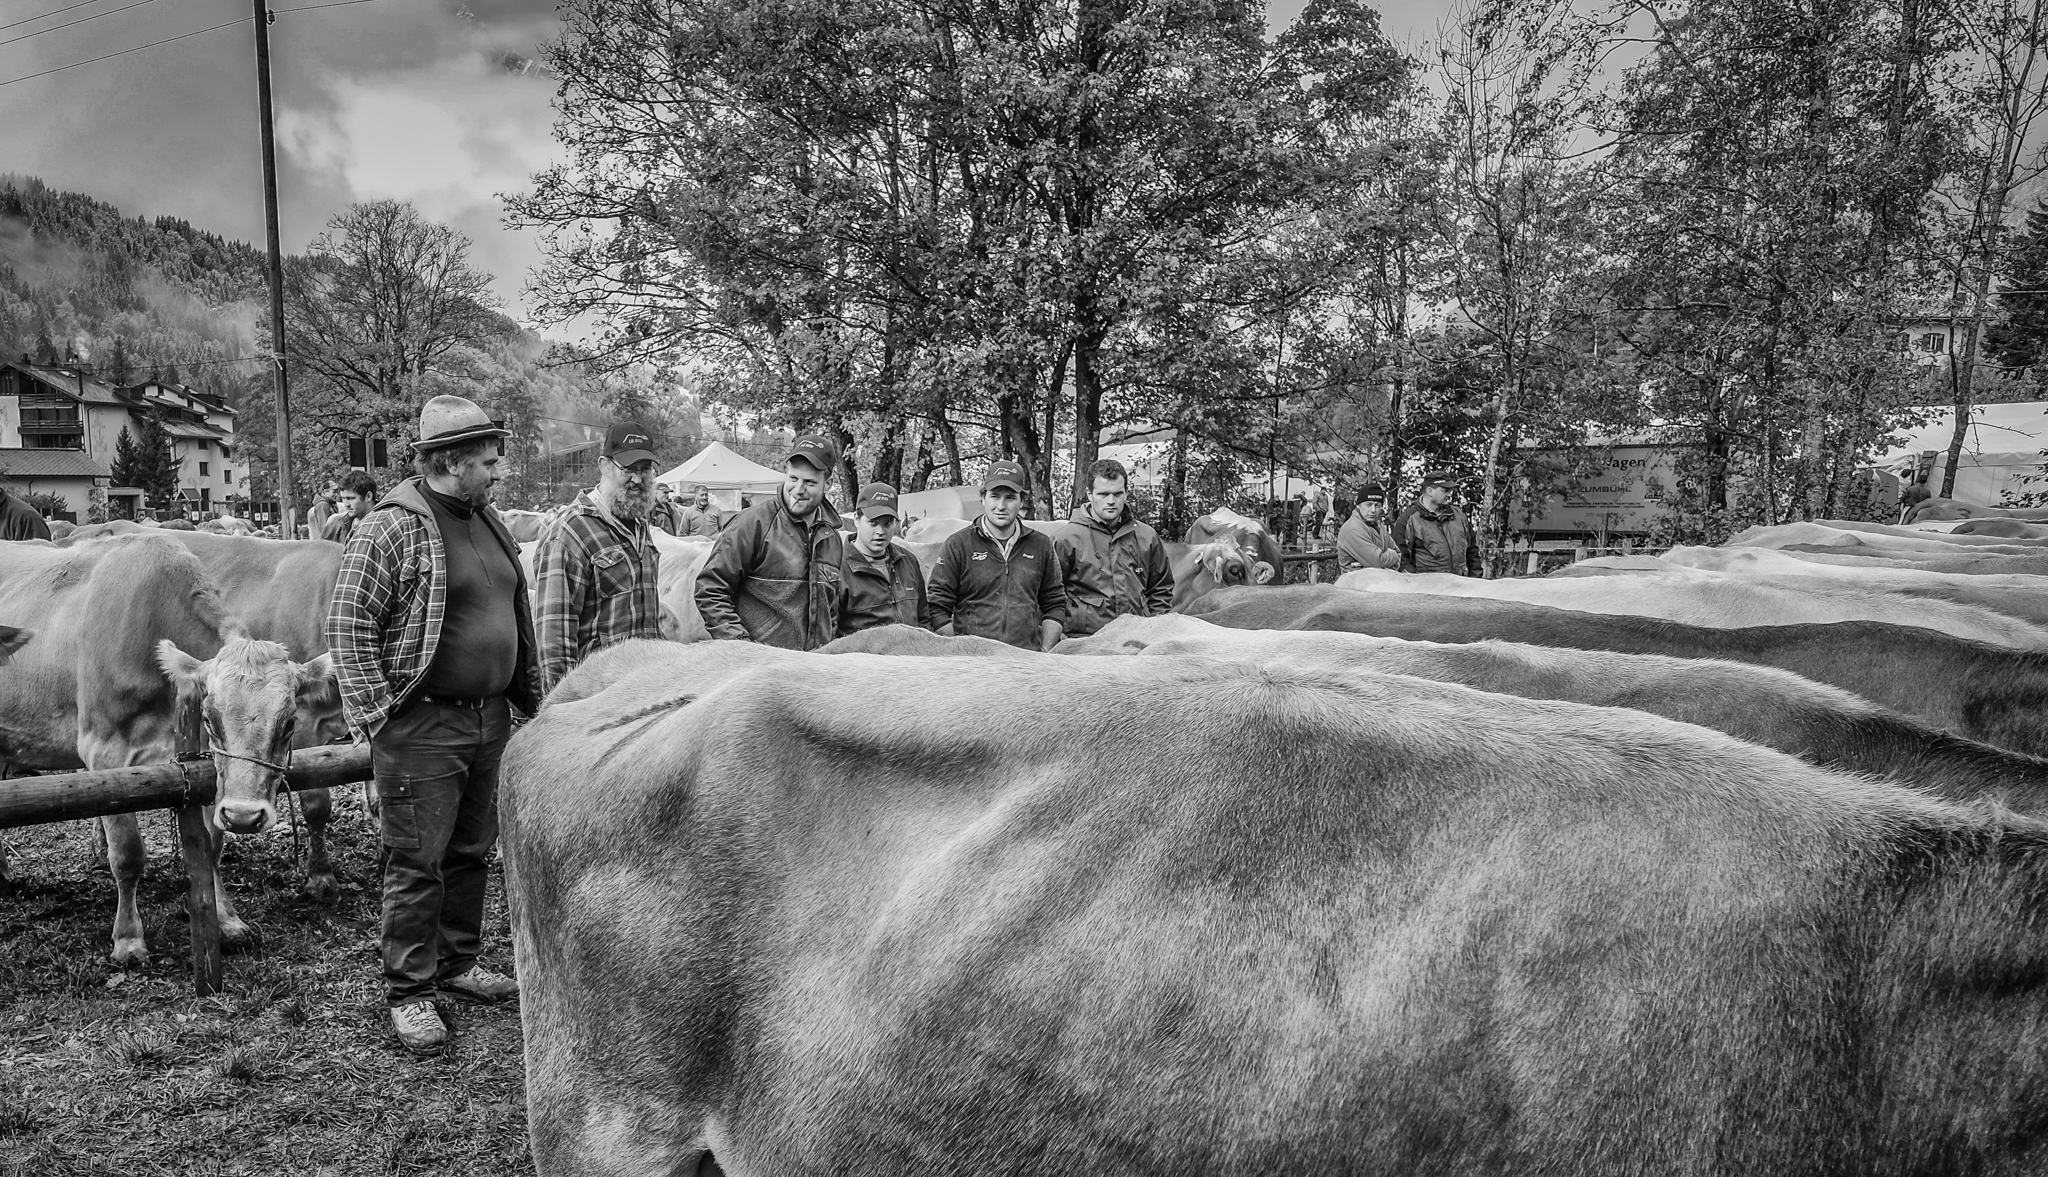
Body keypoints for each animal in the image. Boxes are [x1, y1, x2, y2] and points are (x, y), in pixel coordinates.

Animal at [0, 535, 334, 963]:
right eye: (210, 718)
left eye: (289, 723)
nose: (244, 817)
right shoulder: (104, 751)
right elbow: (127, 854)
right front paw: (128, 938)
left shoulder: (205, 765)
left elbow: (211, 845)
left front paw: (227, 920)